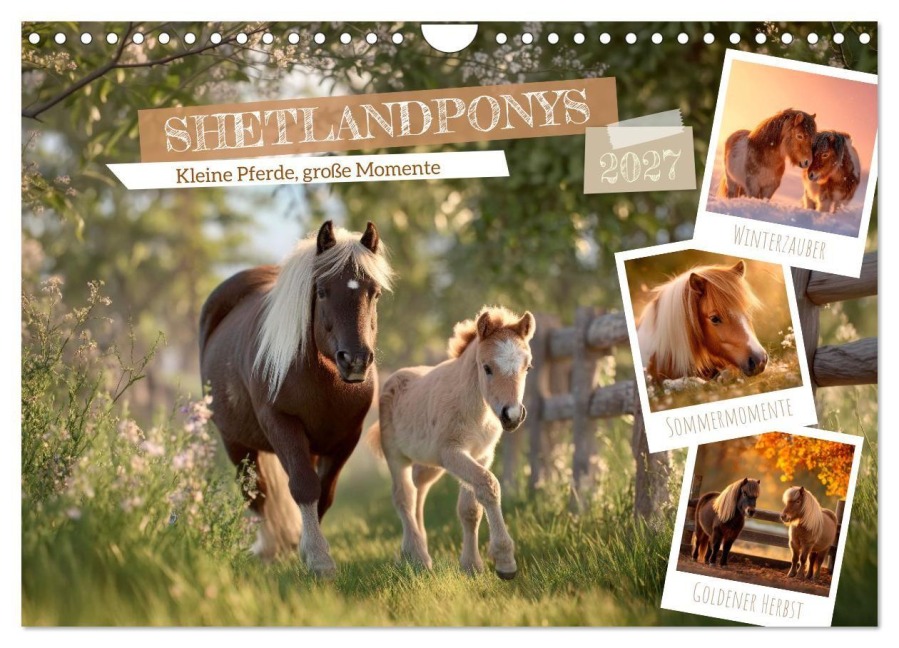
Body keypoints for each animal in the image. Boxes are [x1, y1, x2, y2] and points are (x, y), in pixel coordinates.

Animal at [199, 220, 394, 578]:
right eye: (322, 291)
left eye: (374, 292)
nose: (355, 361)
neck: (323, 378)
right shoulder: (281, 424)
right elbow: (303, 486)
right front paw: (318, 559)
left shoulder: (345, 438)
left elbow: (323, 494)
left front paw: (309, 549)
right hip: (235, 442)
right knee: (256, 493)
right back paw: (267, 548)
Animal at [369, 306, 535, 579]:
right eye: (486, 367)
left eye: (528, 367)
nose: (511, 416)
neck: (476, 410)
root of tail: (393, 379)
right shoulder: (453, 453)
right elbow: (489, 485)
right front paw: (505, 561)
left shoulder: (481, 455)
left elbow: (470, 509)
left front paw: (472, 565)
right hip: (396, 455)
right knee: (404, 496)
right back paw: (420, 558)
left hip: (429, 464)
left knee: (418, 491)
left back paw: (410, 552)